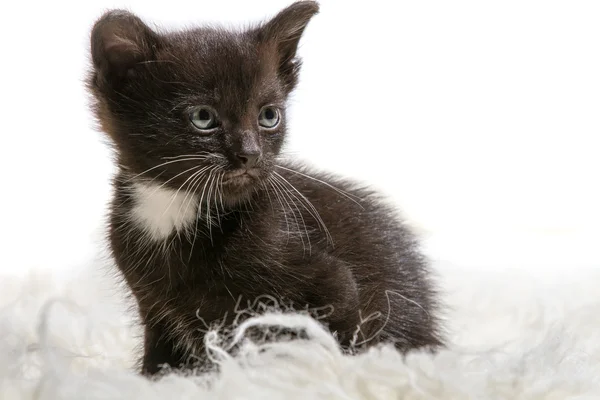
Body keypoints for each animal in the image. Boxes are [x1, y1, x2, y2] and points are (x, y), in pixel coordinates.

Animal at [89, 0, 446, 376]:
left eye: (269, 116)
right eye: (203, 117)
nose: (250, 154)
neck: (174, 206)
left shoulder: (332, 283)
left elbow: (326, 339)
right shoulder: (153, 305)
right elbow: (159, 359)